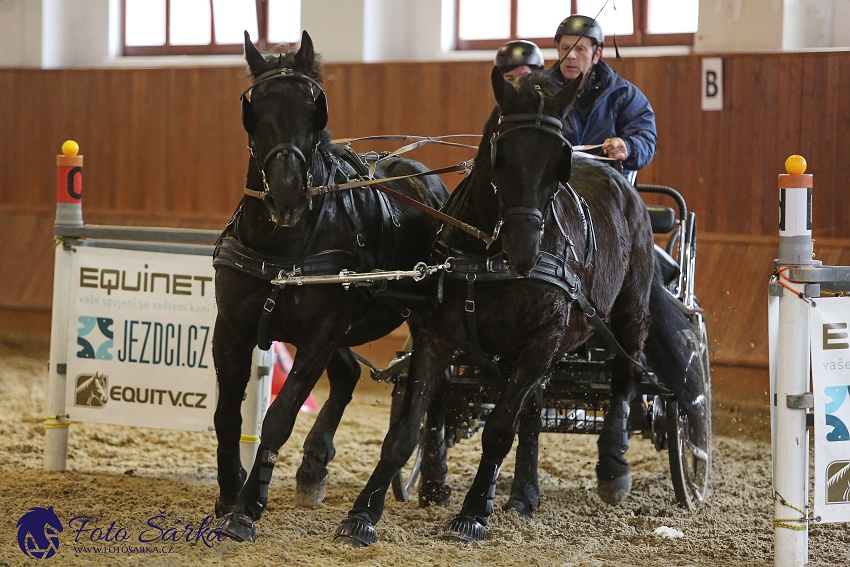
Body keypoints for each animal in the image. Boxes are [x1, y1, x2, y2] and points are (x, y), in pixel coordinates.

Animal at [332, 69, 704, 548]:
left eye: (560, 162)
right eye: (501, 152)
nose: (524, 250)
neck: (490, 256)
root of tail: (625, 188)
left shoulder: (540, 341)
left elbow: (497, 432)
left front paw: (471, 515)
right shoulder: (439, 337)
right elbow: (406, 429)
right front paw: (362, 515)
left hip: (627, 311)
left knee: (627, 375)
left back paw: (613, 464)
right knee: (534, 410)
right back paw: (522, 494)